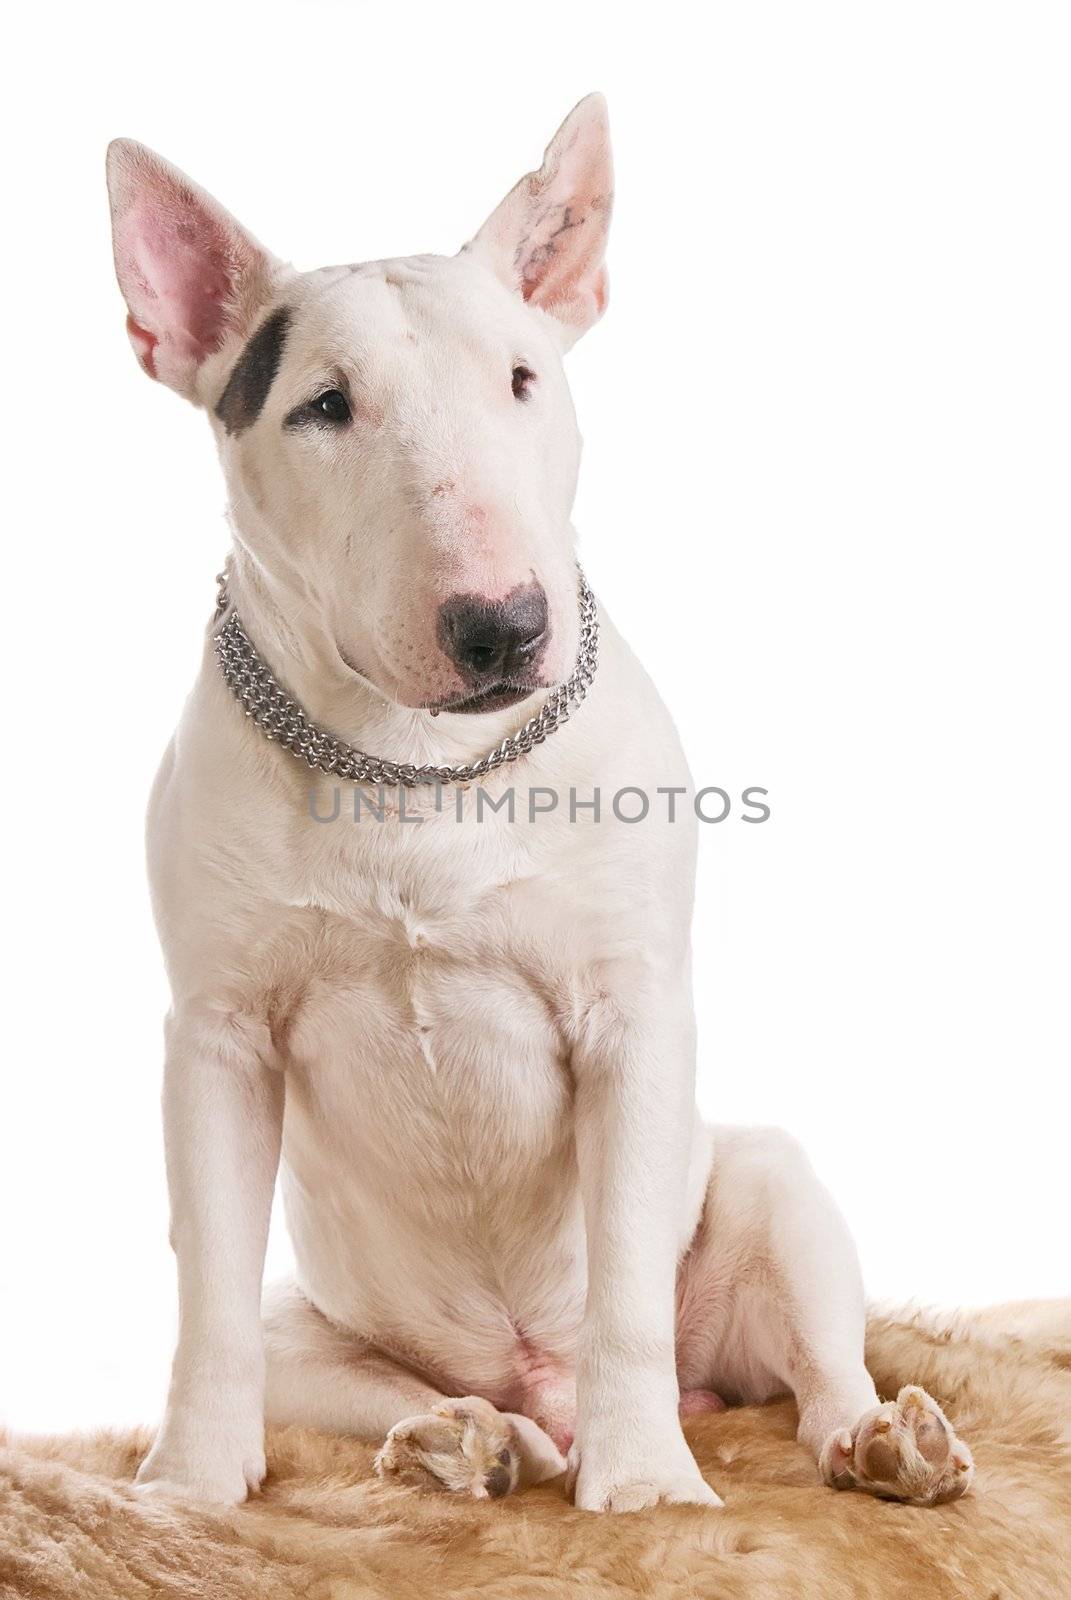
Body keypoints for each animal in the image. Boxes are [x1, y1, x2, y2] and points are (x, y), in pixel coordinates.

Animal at [104, 93, 973, 1504]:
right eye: (323, 406)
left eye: (521, 378)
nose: (503, 627)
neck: (413, 769)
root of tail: (533, 1382)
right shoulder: (217, 1040)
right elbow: (209, 1297)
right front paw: (187, 1483)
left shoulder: (630, 1019)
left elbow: (623, 1278)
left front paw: (651, 1488)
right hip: (322, 1325)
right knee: (349, 1364)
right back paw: (470, 1442)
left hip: (768, 1187)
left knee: (812, 1373)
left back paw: (878, 1444)